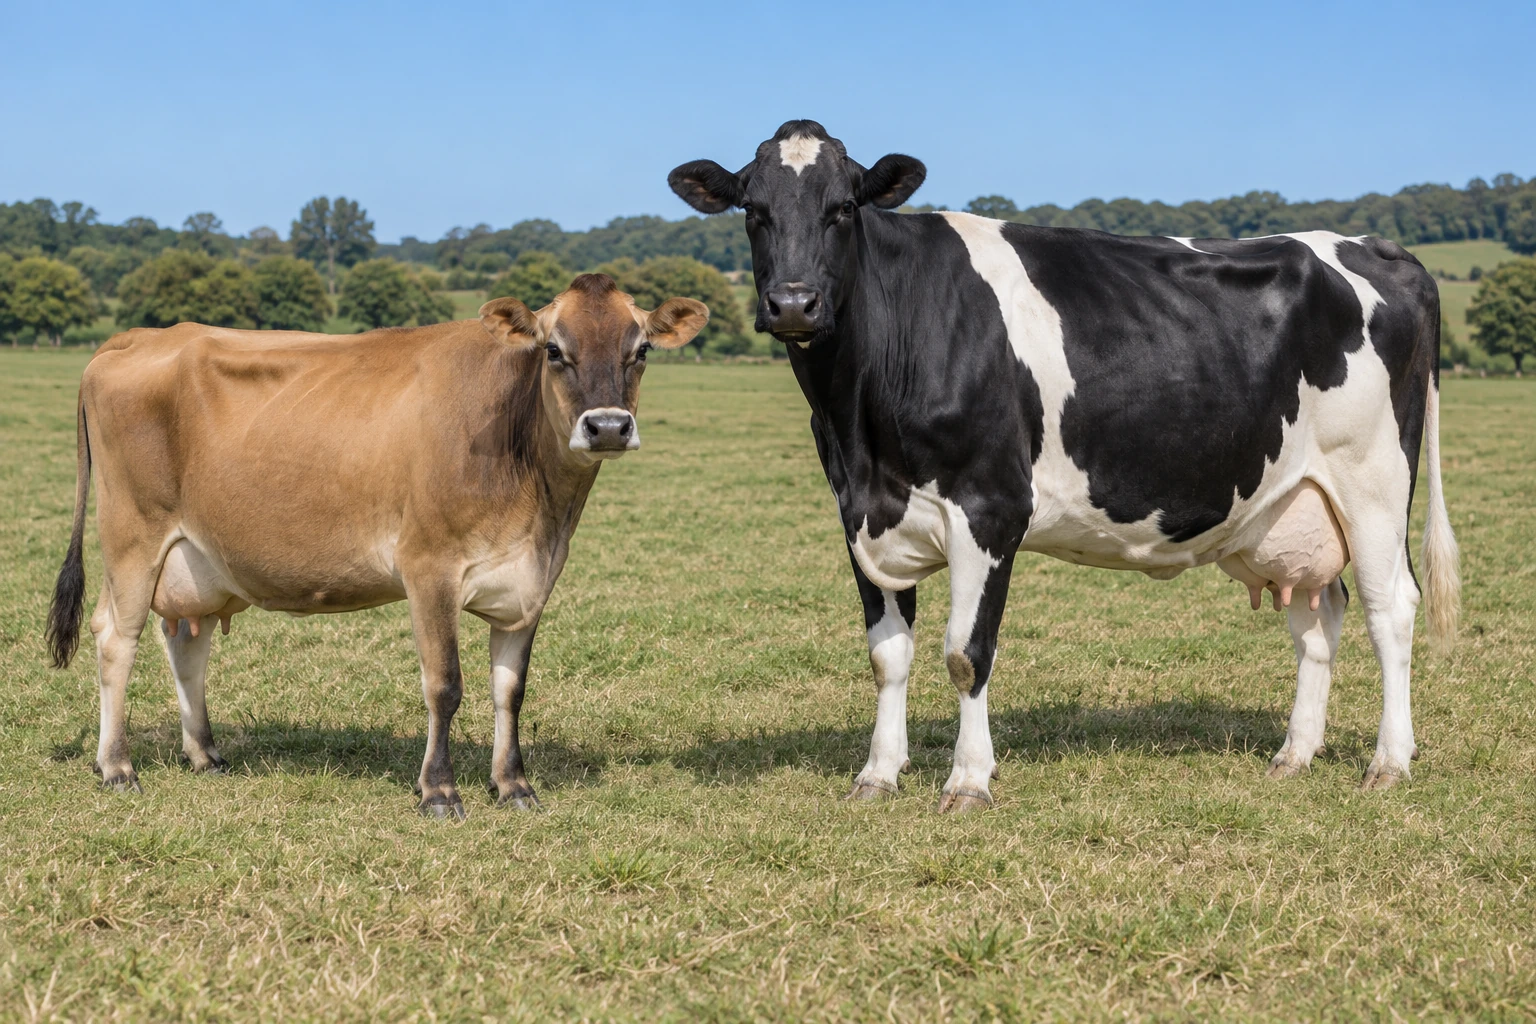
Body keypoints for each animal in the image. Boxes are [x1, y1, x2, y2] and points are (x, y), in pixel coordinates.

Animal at [44, 274, 708, 817]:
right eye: (553, 350)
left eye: (641, 350)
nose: (607, 426)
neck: (539, 504)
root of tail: (135, 338)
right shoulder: (429, 568)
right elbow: (445, 684)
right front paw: (438, 791)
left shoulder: (531, 581)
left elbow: (510, 690)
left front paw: (514, 785)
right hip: (132, 534)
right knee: (117, 637)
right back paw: (117, 766)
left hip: (196, 558)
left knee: (185, 640)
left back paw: (204, 754)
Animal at [669, 120, 1459, 811]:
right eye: (753, 211)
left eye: (842, 209)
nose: (792, 304)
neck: (861, 426)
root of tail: (1372, 246)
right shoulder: (859, 515)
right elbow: (888, 656)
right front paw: (878, 775)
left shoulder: (990, 508)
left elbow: (967, 653)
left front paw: (968, 781)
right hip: (1293, 504)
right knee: (1319, 614)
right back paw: (1295, 754)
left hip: (1374, 481)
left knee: (1392, 608)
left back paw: (1389, 762)